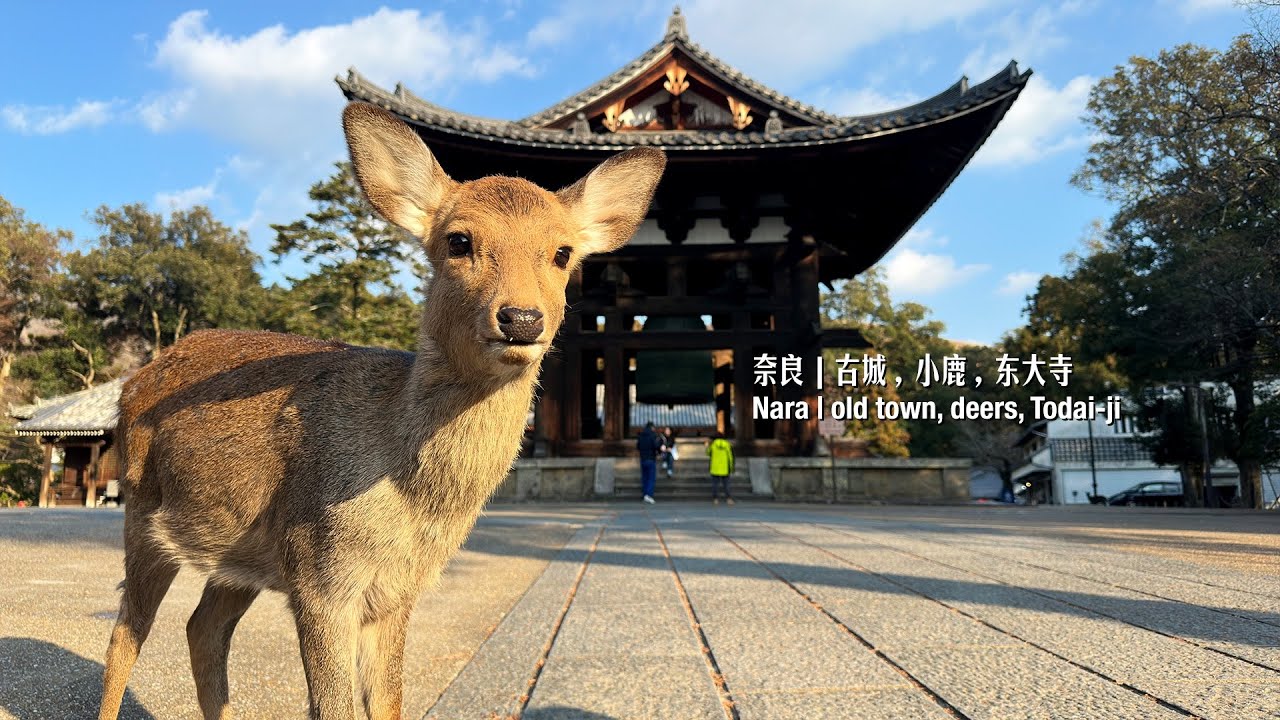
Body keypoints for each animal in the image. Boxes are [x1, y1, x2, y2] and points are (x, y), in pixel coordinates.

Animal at [97, 101, 665, 720]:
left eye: (563, 253)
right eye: (458, 241)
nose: (521, 318)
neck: (410, 502)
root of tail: (136, 379)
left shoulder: (396, 591)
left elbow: (388, 701)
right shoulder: (320, 573)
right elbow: (333, 707)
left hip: (236, 551)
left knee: (202, 628)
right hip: (142, 510)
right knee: (127, 633)